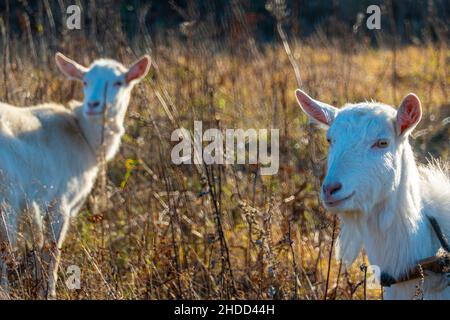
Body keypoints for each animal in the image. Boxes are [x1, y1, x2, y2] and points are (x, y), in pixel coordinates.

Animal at [0, 51, 151, 298]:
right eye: (85, 81)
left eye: (119, 82)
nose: (93, 105)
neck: (83, 134)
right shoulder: (60, 201)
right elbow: (53, 251)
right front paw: (49, 292)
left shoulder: (36, 203)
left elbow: (39, 245)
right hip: (6, 198)